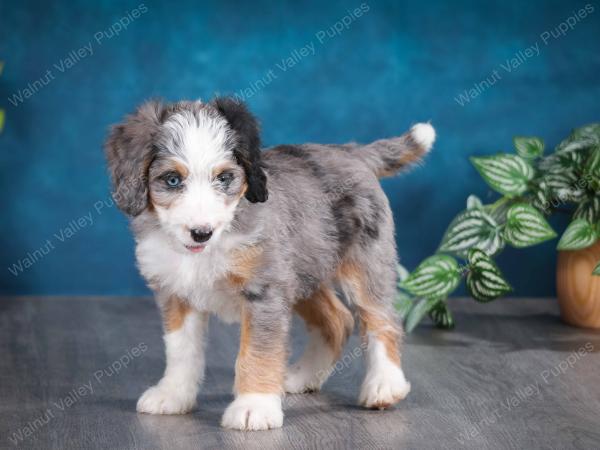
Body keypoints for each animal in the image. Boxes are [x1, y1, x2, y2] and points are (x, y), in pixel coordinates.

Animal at [104, 97, 436, 428]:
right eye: (172, 180)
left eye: (224, 178)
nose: (201, 233)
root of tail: (350, 151)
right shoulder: (176, 293)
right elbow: (181, 350)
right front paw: (172, 395)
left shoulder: (263, 292)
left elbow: (258, 352)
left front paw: (254, 406)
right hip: (304, 270)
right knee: (337, 320)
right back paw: (301, 377)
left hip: (366, 264)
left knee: (381, 319)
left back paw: (384, 386)